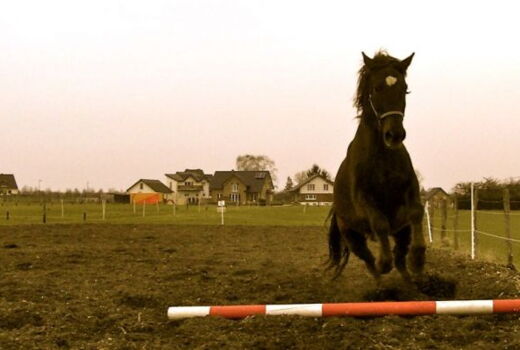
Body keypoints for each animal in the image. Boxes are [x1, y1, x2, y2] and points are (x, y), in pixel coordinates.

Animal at [330, 50, 426, 284]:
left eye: (405, 88)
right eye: (376, 88)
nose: (395, 135)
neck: (382, 157)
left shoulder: (410, 190)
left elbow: (416, 213)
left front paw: (418, 260)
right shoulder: (363, 199)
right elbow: (380, 223)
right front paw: (384, 262)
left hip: (402, 232)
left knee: (400, 258)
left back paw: (409, 279)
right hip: (351, 235)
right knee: (367, 259)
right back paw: (380, 280)